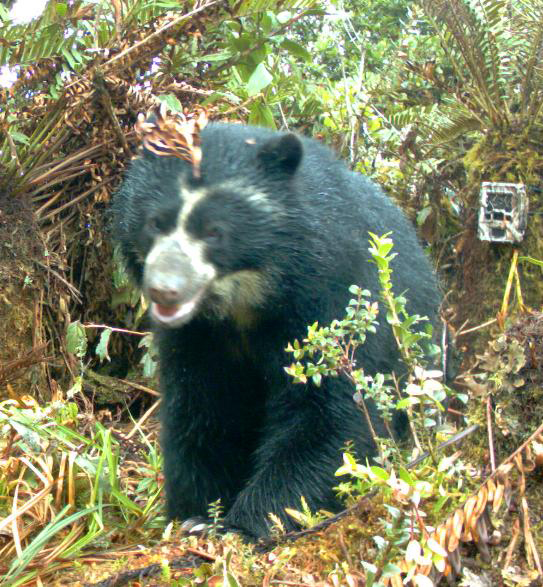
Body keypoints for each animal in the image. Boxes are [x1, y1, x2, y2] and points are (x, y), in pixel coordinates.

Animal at [112, 121, 440, 540]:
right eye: (155, 222)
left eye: (214, 232)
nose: (164, 289)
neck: (245, 301)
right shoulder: (199, 337)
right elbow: (205, 407)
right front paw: (198, 513)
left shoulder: (331, 296)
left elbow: (331, 411)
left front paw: (249, 522)